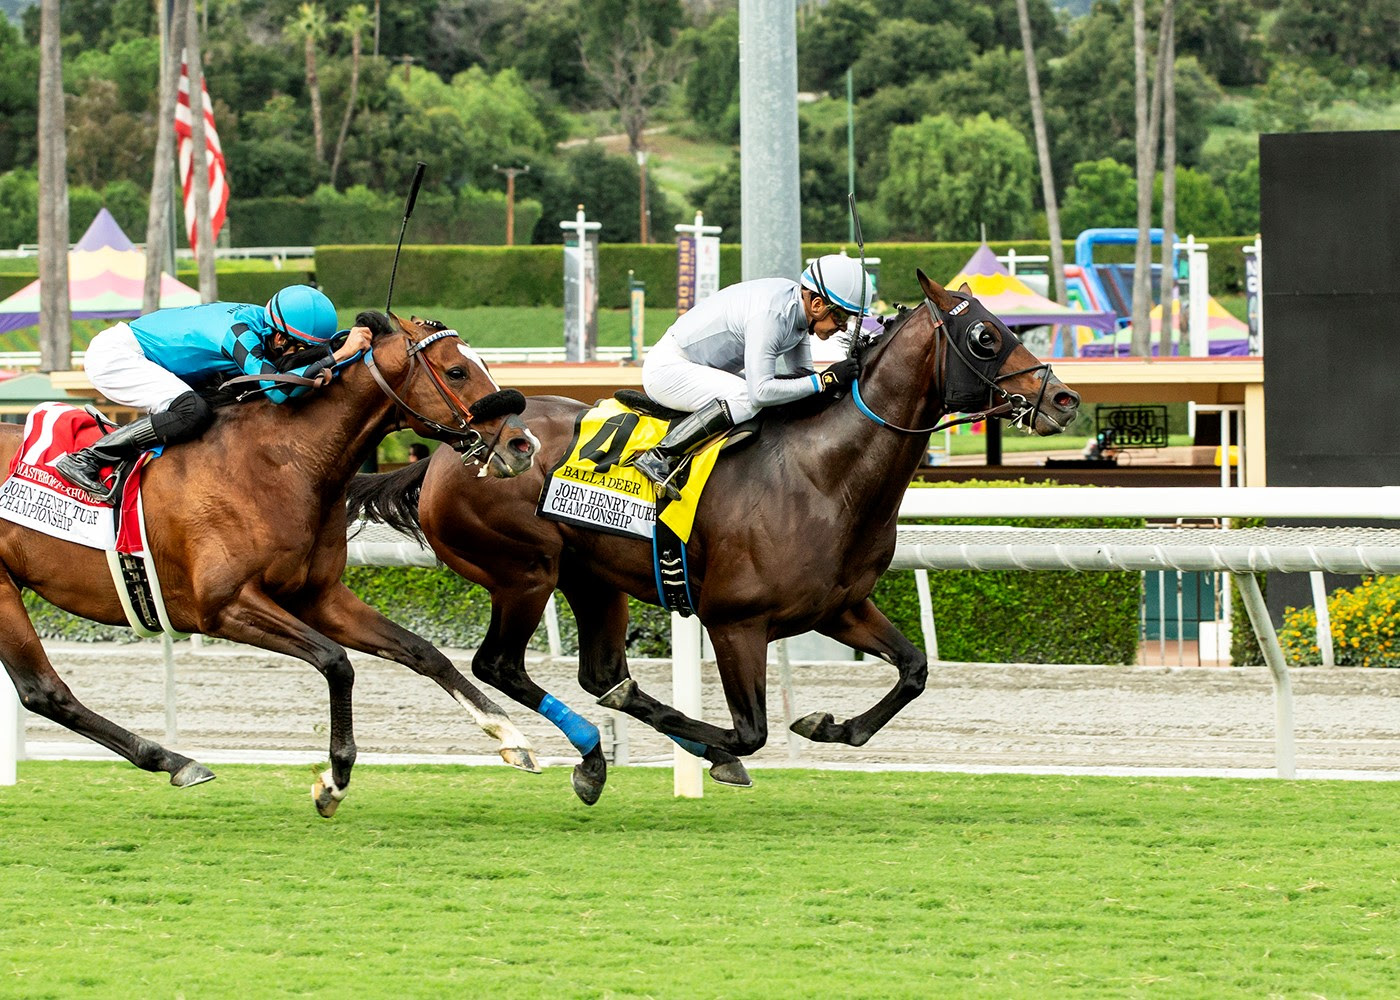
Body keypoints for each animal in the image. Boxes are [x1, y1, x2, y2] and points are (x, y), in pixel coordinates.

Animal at [0, 314, 539, 817]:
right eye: (457, 370)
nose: (523, 444)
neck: (279, 463)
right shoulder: (224, 607)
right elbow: (335, 662)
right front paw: (335, 778)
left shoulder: (318, 596)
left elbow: (423, 651)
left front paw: (509, 735)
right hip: (5, 590)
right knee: (44, 691)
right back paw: (176, 761)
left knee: (41, 692)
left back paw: (173, 760)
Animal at [348, 272, 1081, 804]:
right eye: (985, 336)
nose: (1064, 399)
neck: (824, 474)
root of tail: (448, 455)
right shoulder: (736, 622)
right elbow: (751, 731)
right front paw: (726, 749)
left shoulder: (840, 606)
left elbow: (914, 669)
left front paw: (830, 725)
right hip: (525, 570)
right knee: (501, 665)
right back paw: (585, 748)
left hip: (594, 578)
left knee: (600, 671)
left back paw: (597, 756)